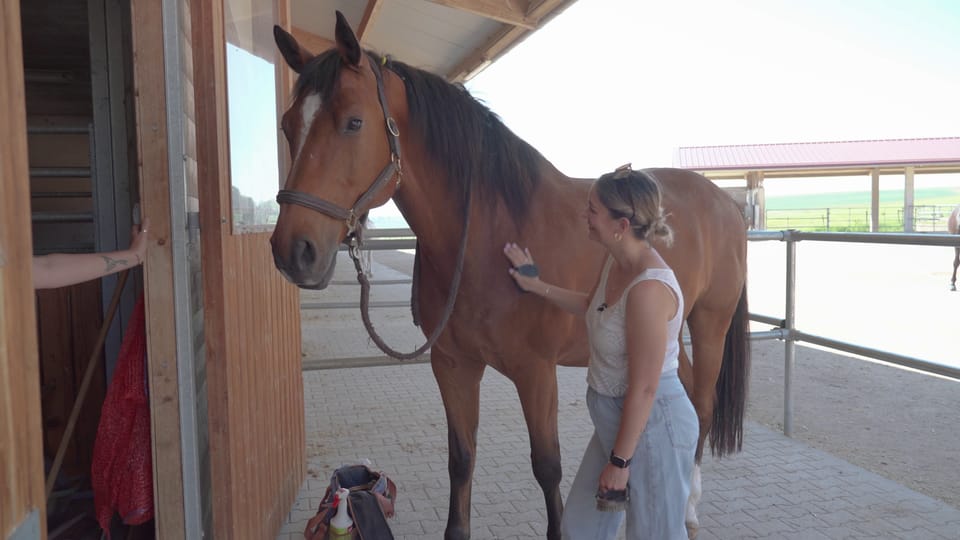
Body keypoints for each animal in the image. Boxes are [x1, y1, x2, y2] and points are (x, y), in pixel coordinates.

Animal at [269, 13, 749, 540]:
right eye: (288, 126)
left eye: (354, 122)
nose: (293, 251)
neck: (488, 236)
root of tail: (726, 201)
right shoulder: (453, 366)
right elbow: (461, 459)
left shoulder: (535, 372)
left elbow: (547, 466)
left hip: (709, 324)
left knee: (701, 405)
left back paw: (688, 507)